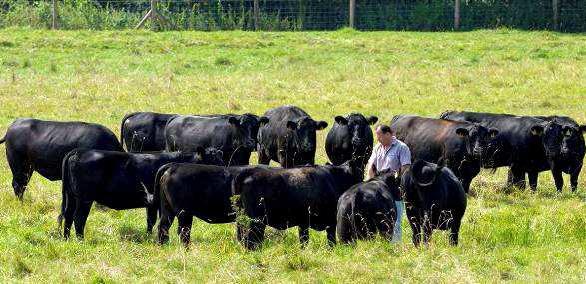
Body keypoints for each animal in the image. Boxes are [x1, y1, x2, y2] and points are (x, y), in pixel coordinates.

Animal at [58, 146, 224, 240]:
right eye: (212, 160)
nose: (223, 171)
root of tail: (79, 151)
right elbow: (155, 221)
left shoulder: (152, 204)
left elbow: (150, 221)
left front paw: (148, 237)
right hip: (84, 198)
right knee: (78, 218)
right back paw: (81, 240)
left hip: (71, 196)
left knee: (68, 216)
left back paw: (66, 239)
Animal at [230, 159, 362, 250]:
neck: (333, 179)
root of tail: (247, 172)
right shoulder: (330, 222)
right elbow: (331, 242)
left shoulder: (303, 223)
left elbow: (304, 241)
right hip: (255, 222)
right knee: (251, 241)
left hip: (242, 219)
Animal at [440, 110, 568, 191]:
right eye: (544, 135)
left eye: (560, 135)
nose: (553, 150)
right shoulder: (517, 166)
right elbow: (520, 184)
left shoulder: (531, 166)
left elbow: (532, 184)